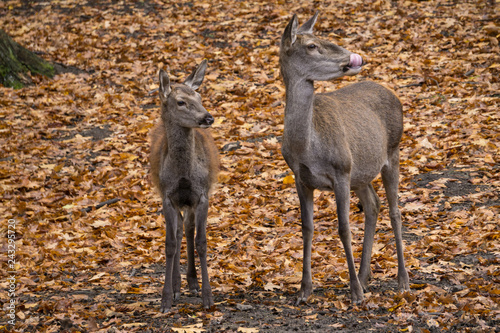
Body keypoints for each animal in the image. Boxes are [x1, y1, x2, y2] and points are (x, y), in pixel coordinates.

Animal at [148, 59, 219, 312]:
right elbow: (169, 244)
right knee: (179, 231)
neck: (184, 175)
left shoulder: (202, 195)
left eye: (199, 96)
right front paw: (166, 299)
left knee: (187, 229)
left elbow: (201, 242)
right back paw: (179, 285)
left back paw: (192, 282)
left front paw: (208, 297)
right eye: (181, 102)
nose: (208, 118)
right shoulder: (168, 196)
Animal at [280, 13, 408, 304]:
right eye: (312, 46)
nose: (352, 57)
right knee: (373, 205)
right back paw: (365, 276)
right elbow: (307, 228)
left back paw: (402, 280)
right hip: (360, 172)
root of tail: (393, 93)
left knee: (395, 210)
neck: (307, 147)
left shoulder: (341, 171)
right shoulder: (300, 178)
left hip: (392, 151)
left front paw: (355, 293)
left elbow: (344, 228)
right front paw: (303, 290)